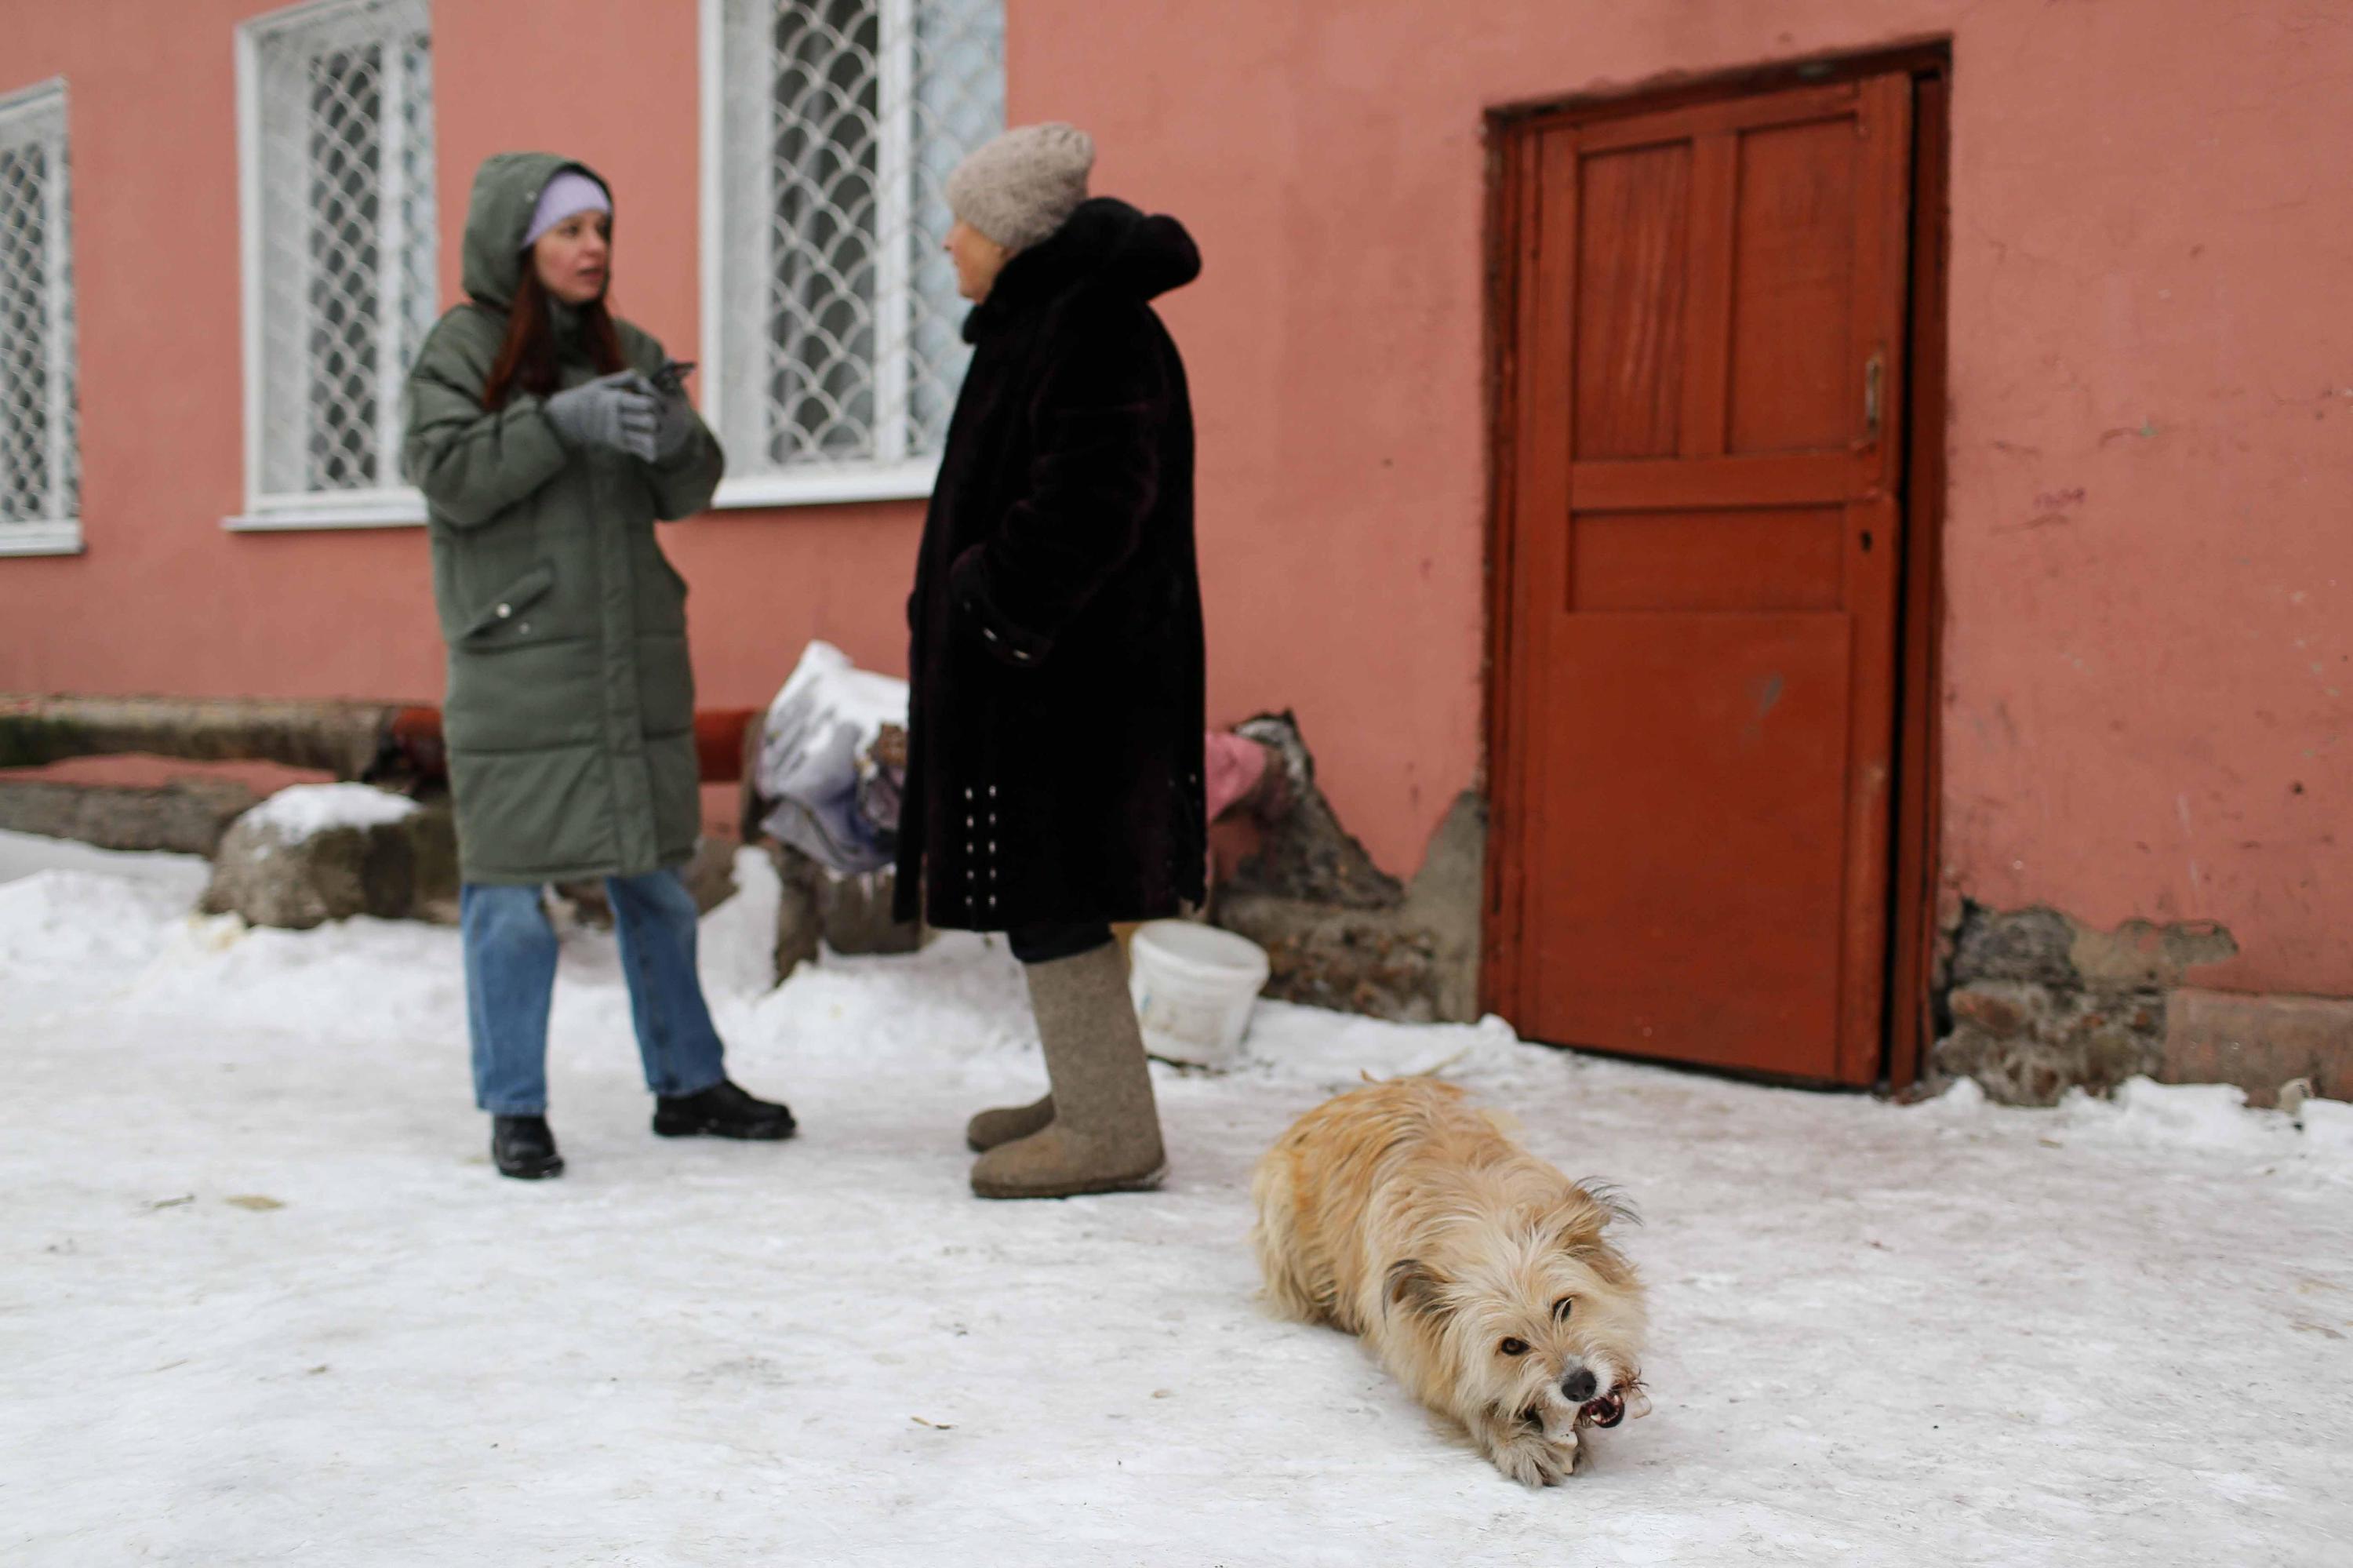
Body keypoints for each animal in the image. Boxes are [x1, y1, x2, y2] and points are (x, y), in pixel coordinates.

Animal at [1252, 1073, 1657, 1478]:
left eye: (1564, 1307)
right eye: (1511, 1346)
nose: (1580, 1386)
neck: (1478, 1223)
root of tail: (1372, 1086)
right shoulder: (1414, 1346)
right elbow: (1465, 1398)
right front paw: (1517, 1440)